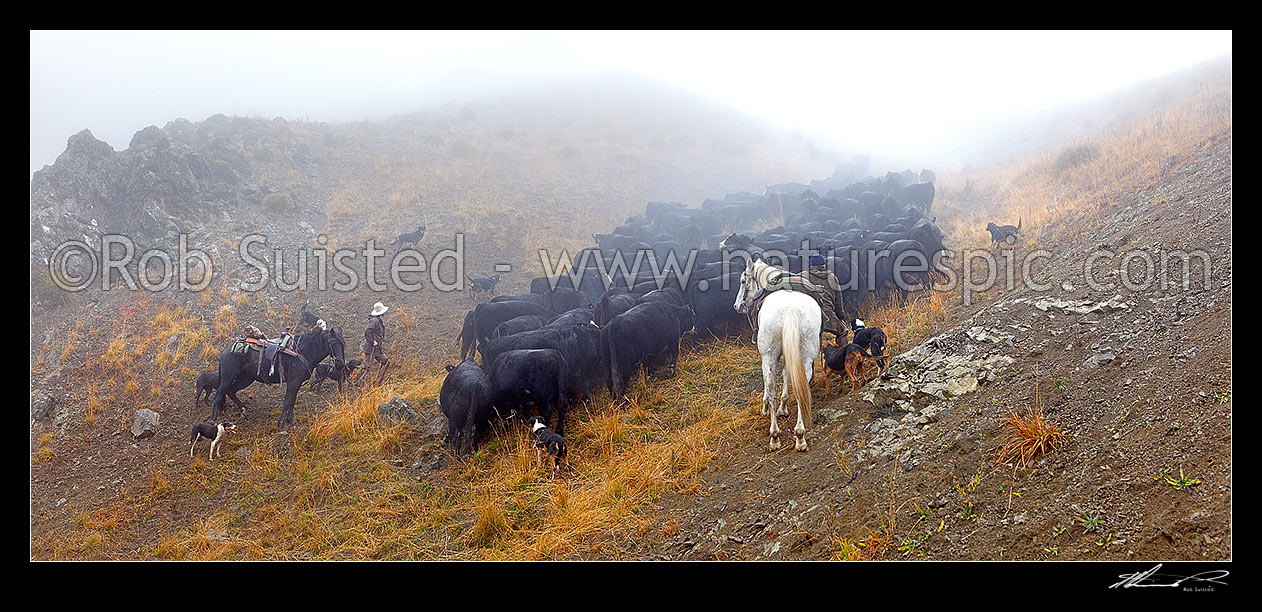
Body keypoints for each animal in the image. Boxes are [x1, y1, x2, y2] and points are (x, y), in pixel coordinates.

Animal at [212, 328, 348, 431]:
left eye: (343, 344)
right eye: (332, 343)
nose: (340, 364)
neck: (302, 351)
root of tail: (225, 352)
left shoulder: (297, 382)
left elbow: (292, 401)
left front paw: (290, 421)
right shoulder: (293, 382)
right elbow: (287, 401)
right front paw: (281, 424)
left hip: (246, 379)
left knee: (231, 391)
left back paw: (243, 410)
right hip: (228, 379)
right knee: (218, 396)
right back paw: (214, 421)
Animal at [737, 254, 822, 451]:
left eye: (743, 281)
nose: (737, 305)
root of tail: (790, 309)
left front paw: (767, 408)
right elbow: (786, 375)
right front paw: (783, 407)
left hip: (768, 356)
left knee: (770, 388)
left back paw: (774, 436)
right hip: (806, 356)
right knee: (801, 387)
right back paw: (800, 436)